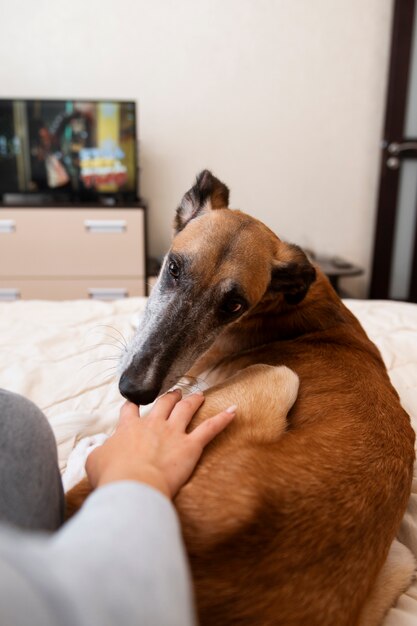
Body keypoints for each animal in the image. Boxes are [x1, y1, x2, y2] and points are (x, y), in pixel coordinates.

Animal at [67, 172, 412, 624]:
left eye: (233, 305)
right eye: (173, 268)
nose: (136, 388)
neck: (283, 304)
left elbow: (107, 415)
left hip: (276, 376)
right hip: (401, 563)